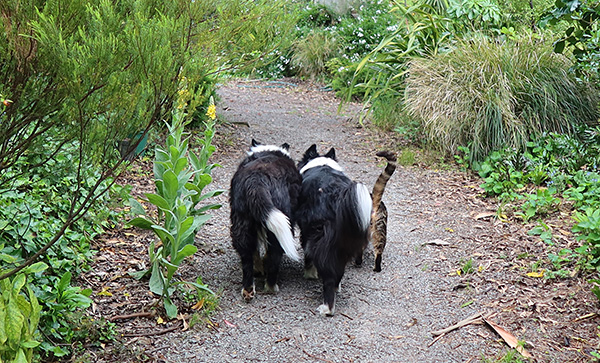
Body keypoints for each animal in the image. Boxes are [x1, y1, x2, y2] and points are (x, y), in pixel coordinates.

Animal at [229, 141, 302, 302]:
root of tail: (256, 179)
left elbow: (256, 252)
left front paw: (259, 269)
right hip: (282, 223)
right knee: (275, 254)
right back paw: (271, 287)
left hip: (242, 222)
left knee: (246, 256)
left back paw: (248, 289)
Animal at [294, 144, 372, 316]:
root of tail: (336, 194)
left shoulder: (306, 231)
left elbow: (308, 255)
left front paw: (310, 274)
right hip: (343, 242)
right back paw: (337, 287)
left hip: (320, 237)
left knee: (328, 275)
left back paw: (327, 308)